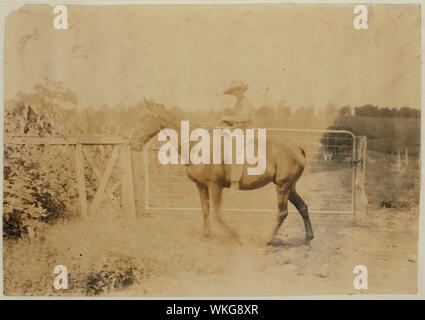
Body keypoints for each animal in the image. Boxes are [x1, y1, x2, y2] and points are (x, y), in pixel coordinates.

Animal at [131, 100, 314, 245]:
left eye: (145, 117)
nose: (132, 143)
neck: (198, 145)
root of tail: (296, 148)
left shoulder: (215, 186)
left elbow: (218, 214)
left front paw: (236, 235)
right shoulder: (201, 185)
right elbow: (205, 209)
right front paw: (206, 234)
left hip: (282, 187)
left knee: (282, 213)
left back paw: (266, 240)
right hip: (290, 187)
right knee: (303, 207)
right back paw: (308, 238)